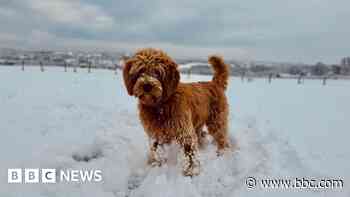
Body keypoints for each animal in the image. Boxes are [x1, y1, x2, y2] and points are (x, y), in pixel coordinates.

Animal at [121, 48, 231, 177]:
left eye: (158, 72)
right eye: (140, 70)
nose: (147, 86)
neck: (160, 105)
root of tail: (214, 83)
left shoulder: (184, 131)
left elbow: (189, 153)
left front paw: (191, 172)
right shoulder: (155, 133)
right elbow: (156, 150)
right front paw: (155, 164)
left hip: (217, 121)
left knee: (222, 138)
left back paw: (222, 153)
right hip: (197, 123)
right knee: (201, 137)